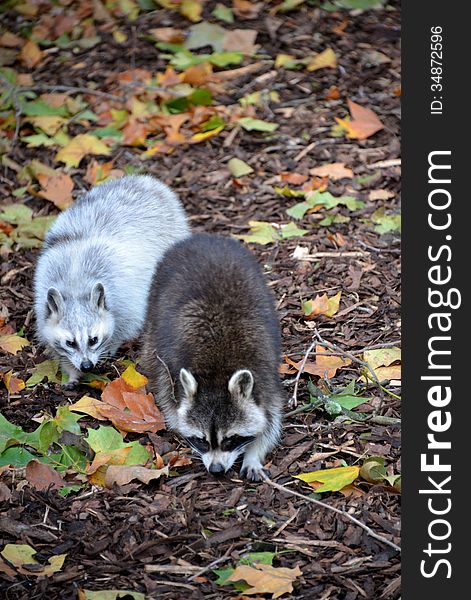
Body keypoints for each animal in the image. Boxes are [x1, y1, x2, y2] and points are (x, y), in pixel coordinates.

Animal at [33, 176, 190, 386]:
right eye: (70, 343)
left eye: (93, 339)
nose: (86, 366)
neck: (76, 286)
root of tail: (147, 181)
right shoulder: (42, 291)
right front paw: (70, 370)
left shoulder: (125, 300)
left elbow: (124, 327)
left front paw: (110, 345)